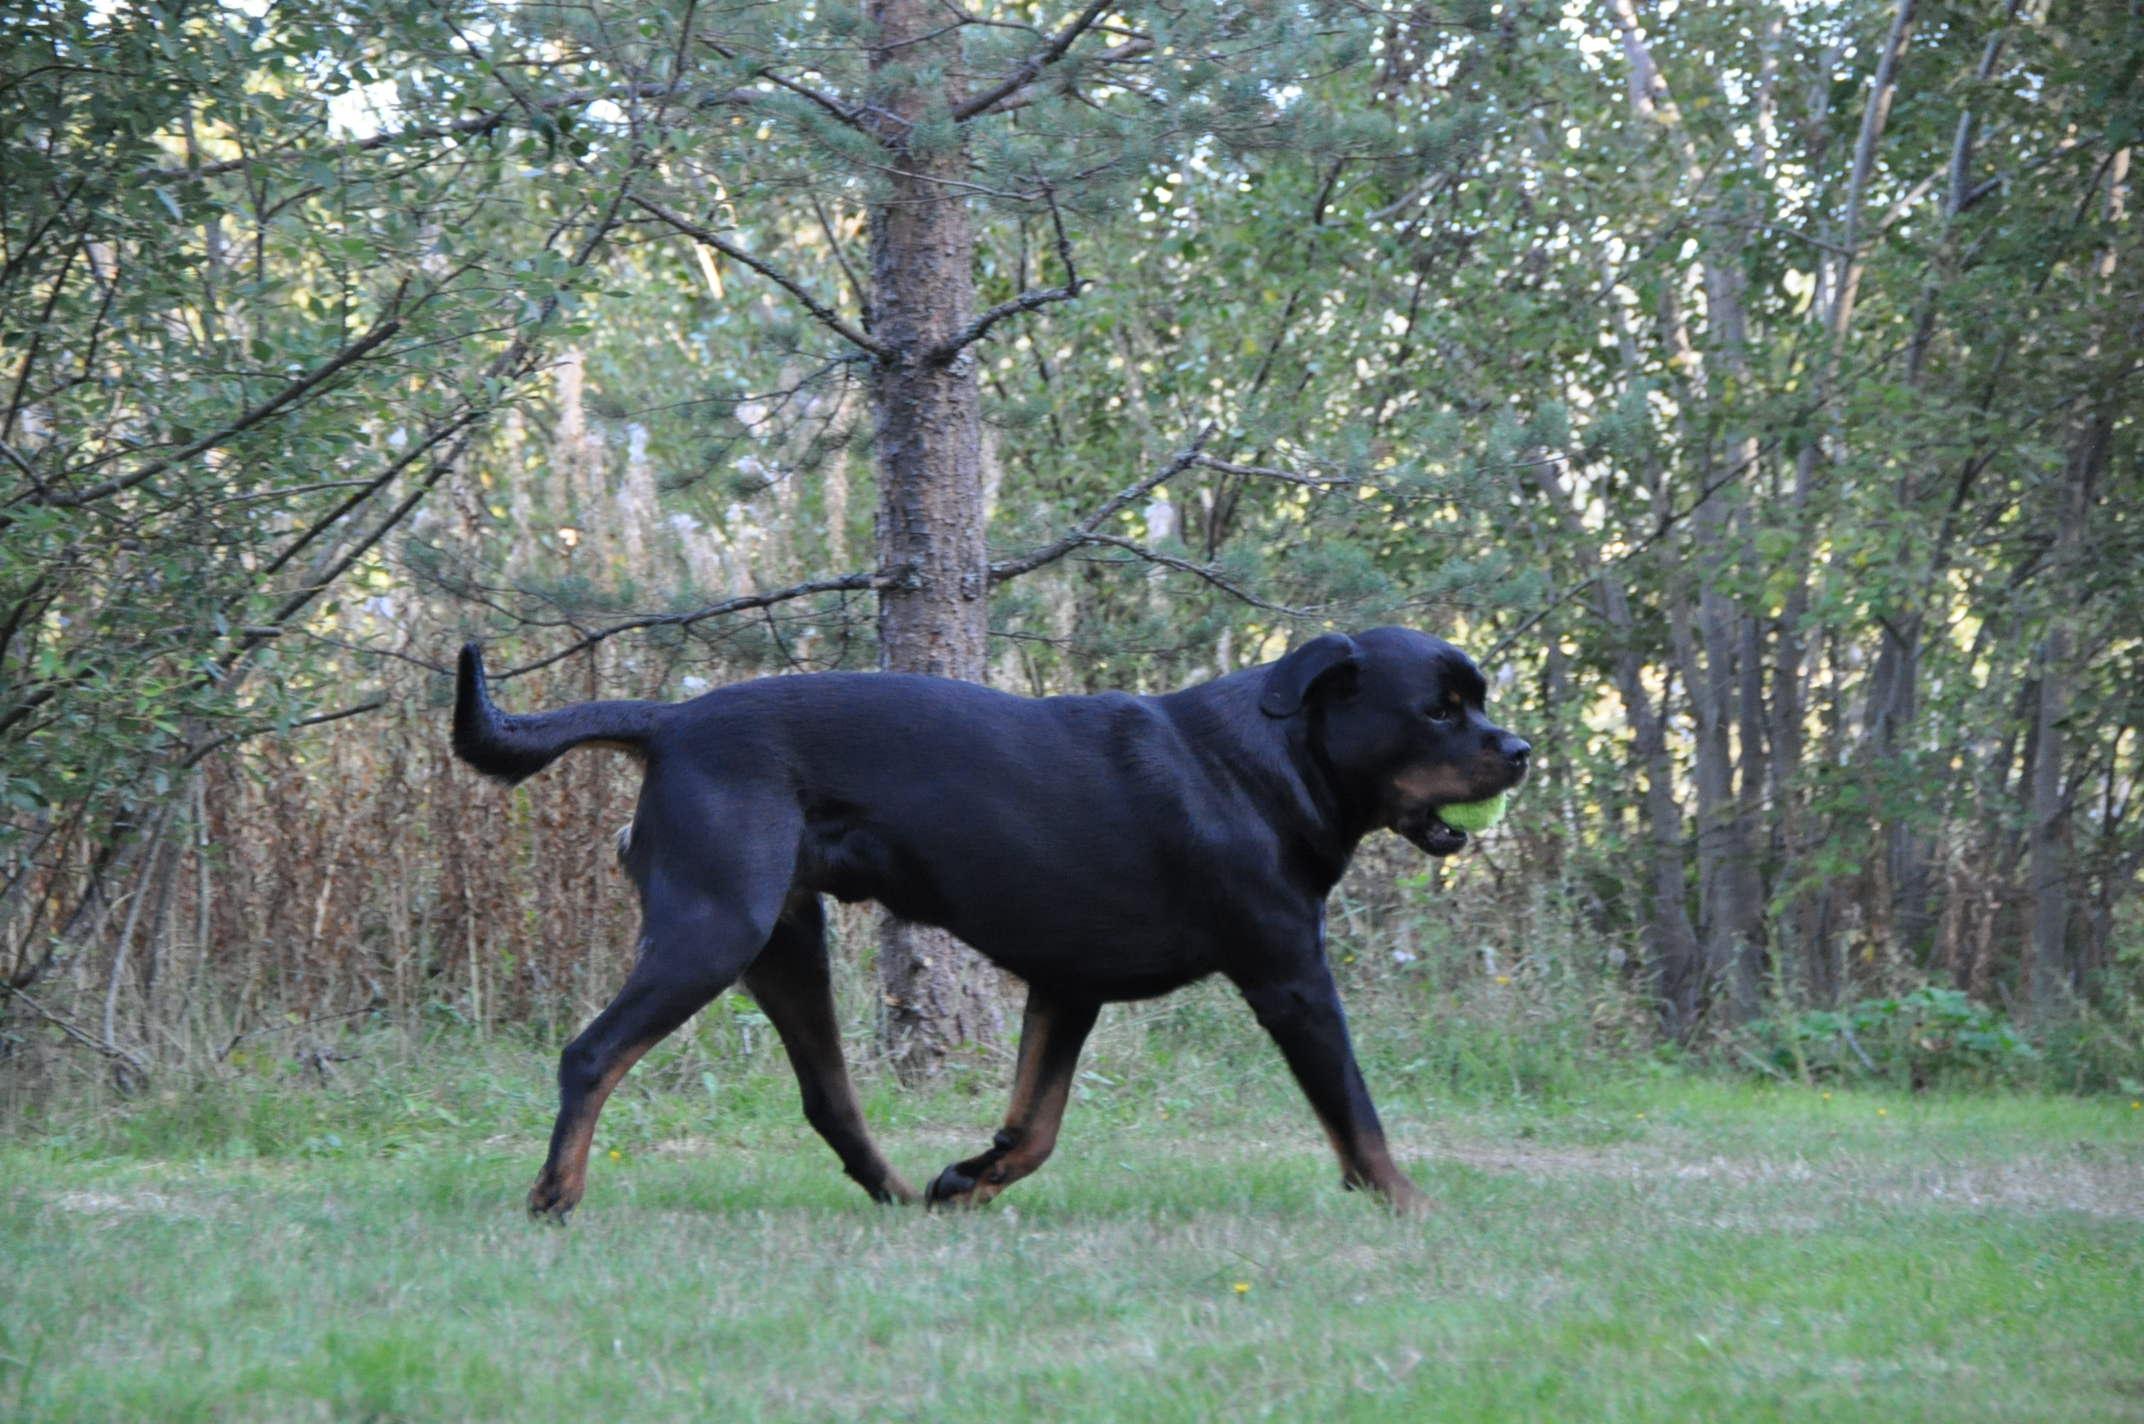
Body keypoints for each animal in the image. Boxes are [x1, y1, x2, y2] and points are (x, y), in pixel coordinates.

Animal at [453, 627, 1529, 1218]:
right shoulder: (1290, 977)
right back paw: (555, 1196)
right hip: (712, 929)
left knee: (829, 1097)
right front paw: (1409, 1204)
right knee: (591, 1055)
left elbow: (1037, 1123)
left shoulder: (1068, 986)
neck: (1271, 763)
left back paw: (896, 1196)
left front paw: (968, 1177)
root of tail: (668, 721)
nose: (1517, 749)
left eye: (1474, 702)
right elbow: (1356, 1113)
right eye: (1438, 711)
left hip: (784, 944)